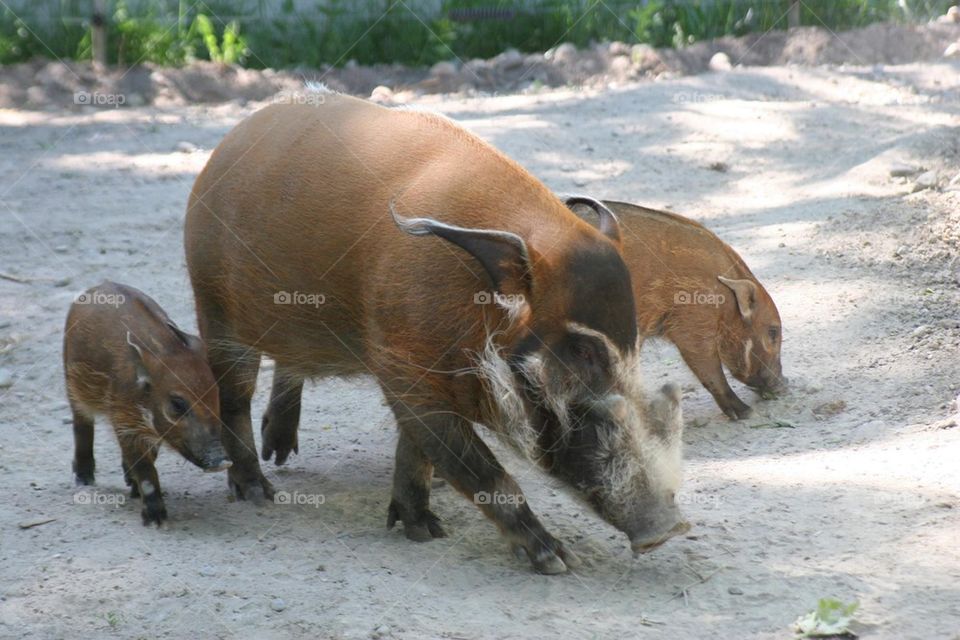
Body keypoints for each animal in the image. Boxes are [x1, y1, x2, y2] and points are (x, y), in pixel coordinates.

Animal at [63, 281, 230, 525]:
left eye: (217, 393)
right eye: (177, 404)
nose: (222, 460)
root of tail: (98, 286)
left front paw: (133, 488)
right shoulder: (124, 421)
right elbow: (145, 469)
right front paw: (156, 520)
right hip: (72, 386)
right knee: (81, 425)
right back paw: (84, 479)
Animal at [184, 93, 689, 573]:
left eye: (634, 345)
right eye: (582, 350)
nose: (667, 530)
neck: (477, 310)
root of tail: (229, 143)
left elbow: (417, 452)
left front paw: (423, 530)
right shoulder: (406, 371)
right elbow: (481, 471)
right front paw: (558, 560)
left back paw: (281, 453)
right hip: (215, 310)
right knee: (234, 399)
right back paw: (257, 490)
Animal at [565, 198, 785, 420]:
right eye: (773, 332)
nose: (783, 384)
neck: (725, 299)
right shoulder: (693, 327)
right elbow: (710, 371)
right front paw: (745, 412)